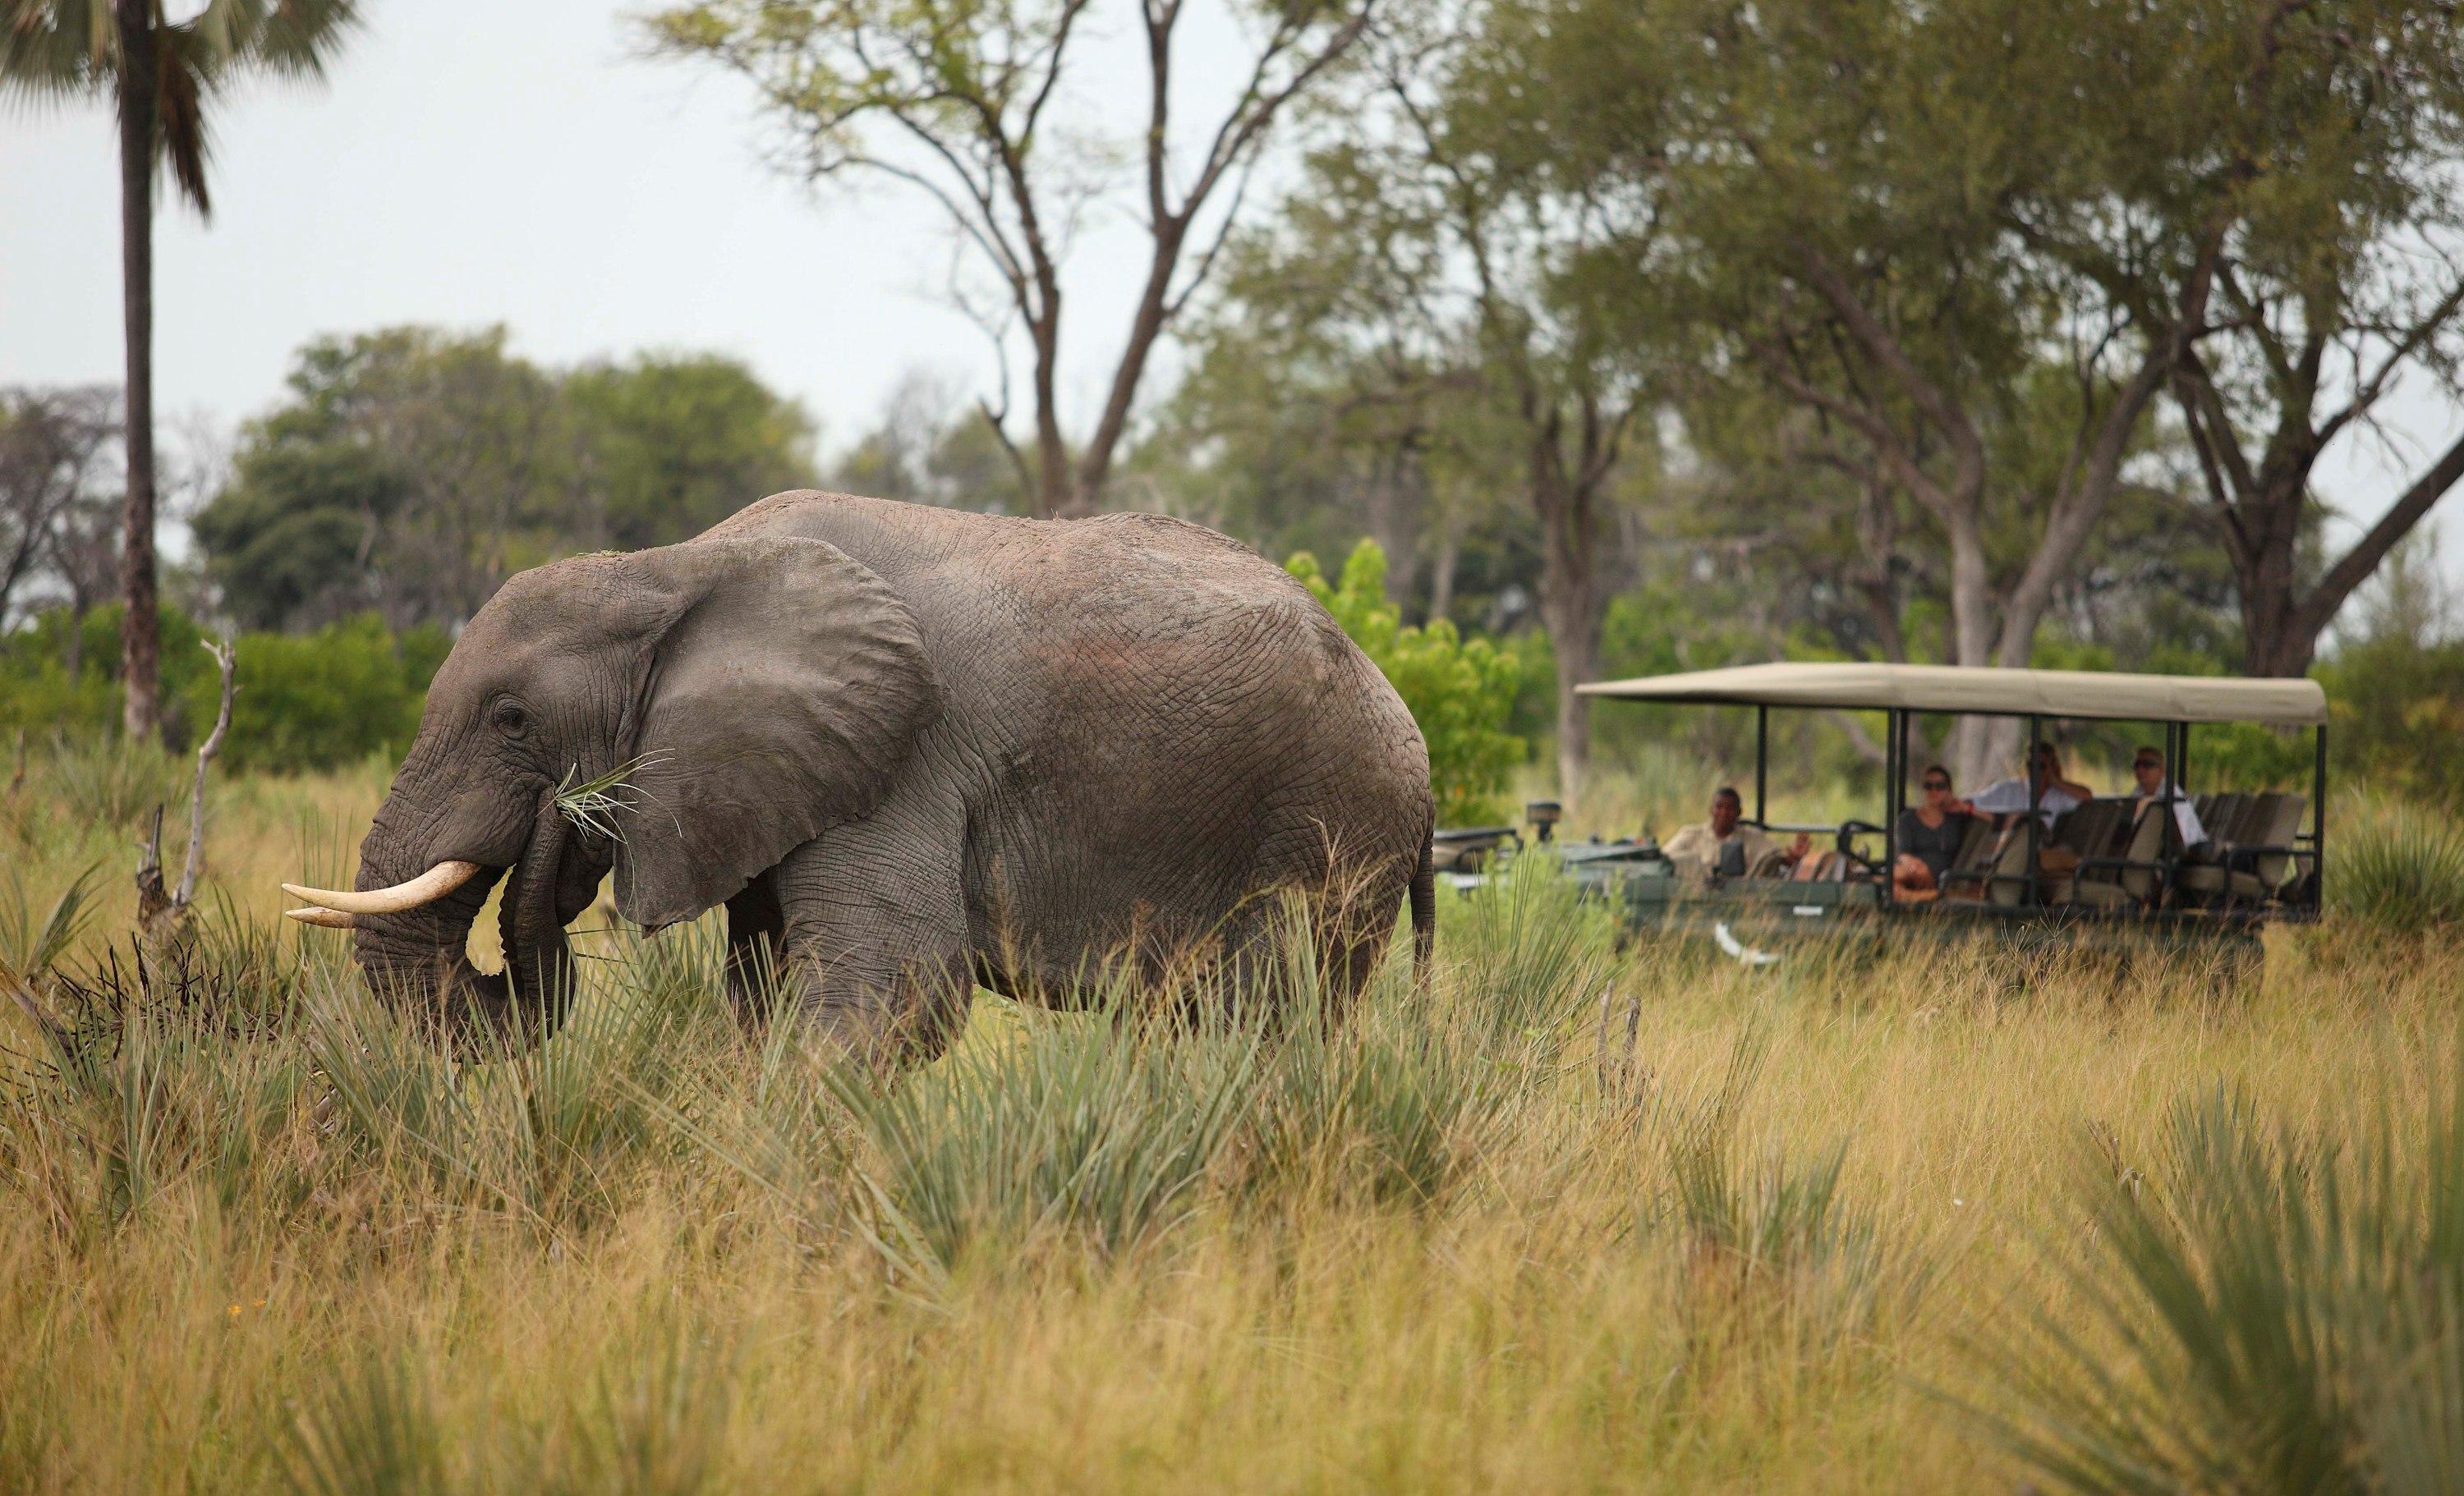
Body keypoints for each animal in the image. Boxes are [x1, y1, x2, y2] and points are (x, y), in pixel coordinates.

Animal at [283, 491, 1437, 1062]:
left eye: (512, 718)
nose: (561, 831)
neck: (676, 566)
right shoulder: (770, 779)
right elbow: (761, 999)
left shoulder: (902, 758)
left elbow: (899, 996)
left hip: (1332, 828)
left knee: (1270, 1023)